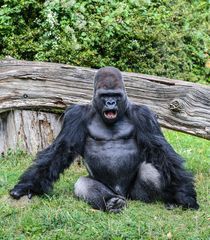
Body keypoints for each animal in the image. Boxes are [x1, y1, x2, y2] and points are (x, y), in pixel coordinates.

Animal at [9, 66, 199, 213]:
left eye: (116, 95)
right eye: (105, 95)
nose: (110, 103)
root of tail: (122, 194)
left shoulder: (144, 115)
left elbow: (161, 152)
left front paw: (185, 196)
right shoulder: (76, 115)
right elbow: (61, 150)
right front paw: (27, 186)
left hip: (133, 195)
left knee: (151, 171)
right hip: (112, 192)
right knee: (83, 184)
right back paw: (112, 203)